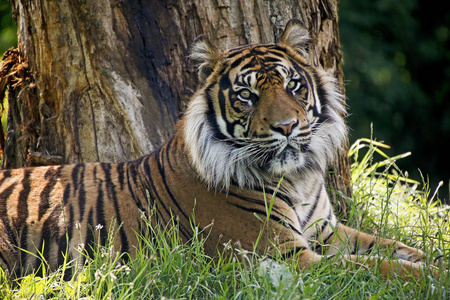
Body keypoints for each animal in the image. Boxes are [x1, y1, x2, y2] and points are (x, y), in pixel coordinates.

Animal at [0, 19, 432, 280]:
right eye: (246, 96)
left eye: (293, 86)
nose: (287, 127)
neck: (298, 180)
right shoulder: (286, 256)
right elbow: (380, 268)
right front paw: (430, 278)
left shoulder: (327, 231)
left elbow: (397, 249)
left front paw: (432, 260)